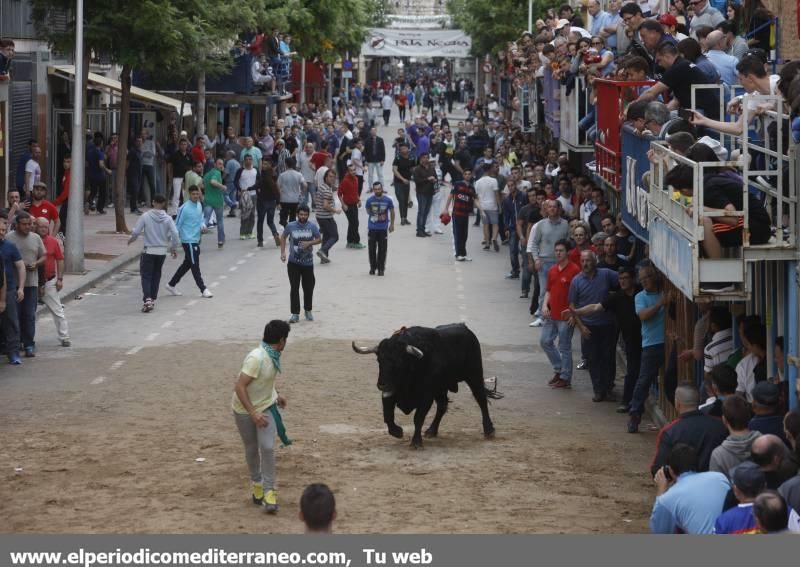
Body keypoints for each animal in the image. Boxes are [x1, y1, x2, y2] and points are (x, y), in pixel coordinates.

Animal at [352, 324, 500, 448]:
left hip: (474, 375)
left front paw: (416, 442)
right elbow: (388, 416)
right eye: (379, 360)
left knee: (481, 399)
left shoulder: (426, 397)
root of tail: (465, 328)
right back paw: (432, 430)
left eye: (398, 362)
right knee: (442, 406)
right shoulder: (390, 393)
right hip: (441, 388)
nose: (381, 384)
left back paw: (489, 430)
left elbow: (418, 418)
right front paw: (398, 432)